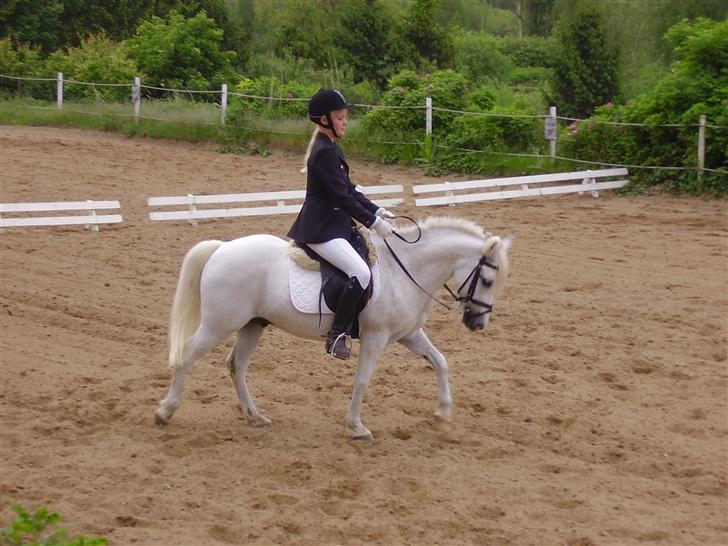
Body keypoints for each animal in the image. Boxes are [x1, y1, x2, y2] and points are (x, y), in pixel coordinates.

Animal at [155, 216, 512, 438]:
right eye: (488, 280)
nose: (478, 323)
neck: (406, 269)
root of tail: (221, 248)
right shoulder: (376, 337)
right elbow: (362, 380)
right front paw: (356, 426)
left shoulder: (407, 335)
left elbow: (440, 361)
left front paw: (443, 412)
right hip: (220, 324)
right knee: (186, 356)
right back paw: (165, 412)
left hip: (252, 325)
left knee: (236, 366)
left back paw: (254, 416)